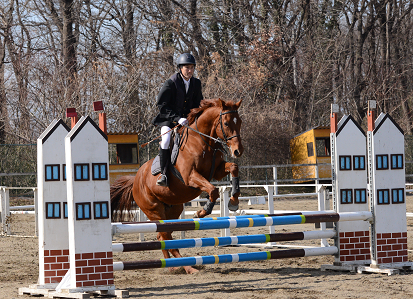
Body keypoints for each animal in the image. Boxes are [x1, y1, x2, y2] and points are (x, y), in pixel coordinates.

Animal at [111, 98, 243, 274]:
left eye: (240, 122)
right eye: (227, 123)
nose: (238, 151)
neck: (202, 142)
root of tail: (135, 180)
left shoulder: (218, 171)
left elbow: (233, 168)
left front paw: (234, 201)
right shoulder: (190, 177)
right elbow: (213, 190)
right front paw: (202, 211)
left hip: (173, 211)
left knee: (163, 237)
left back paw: (172, 266)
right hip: (154, 211)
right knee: (166, 238)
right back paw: (188, 267)